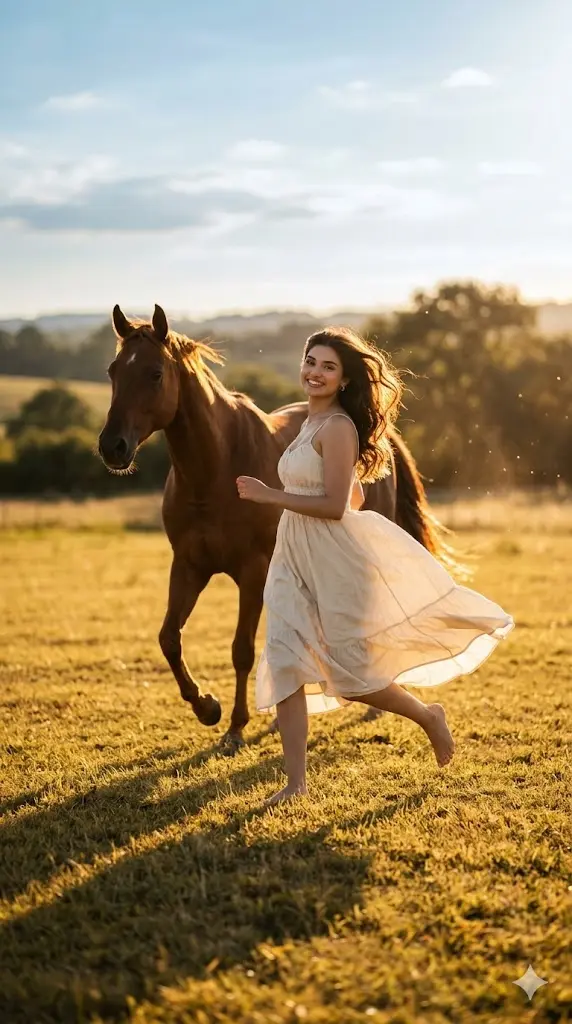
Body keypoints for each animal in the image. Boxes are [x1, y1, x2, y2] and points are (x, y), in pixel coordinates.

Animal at [98, 304, 448, 751]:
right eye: (113, 371)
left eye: (155, 373)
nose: (112, 447)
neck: (215, 469)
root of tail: (381, 440)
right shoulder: (189, 566)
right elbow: (169, 639)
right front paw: (206, 707)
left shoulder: (251, 572)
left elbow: (241, 650)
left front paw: (234, 726)